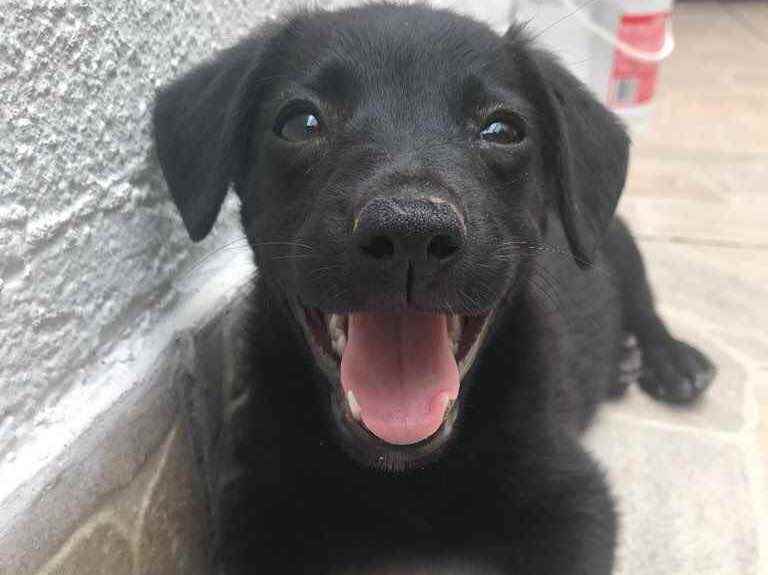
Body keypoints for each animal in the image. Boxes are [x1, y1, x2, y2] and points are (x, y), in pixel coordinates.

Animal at [152, 3, 715, 573]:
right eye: (299, 122)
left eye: (502, 129)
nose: (411, 234)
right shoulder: (257, 506)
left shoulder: (573, 496)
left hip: (618, 243)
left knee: (645, 304)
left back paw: (670, 360)